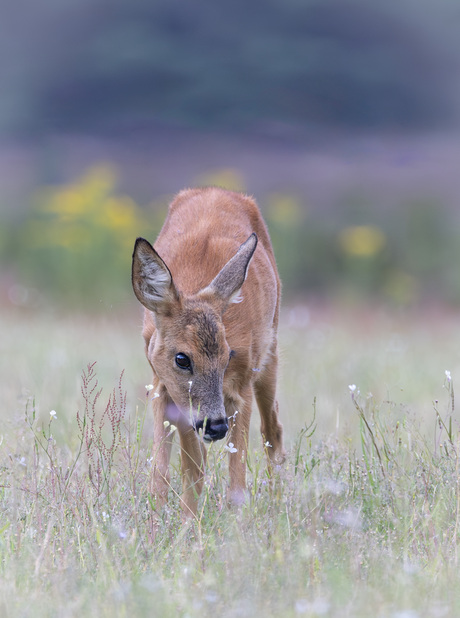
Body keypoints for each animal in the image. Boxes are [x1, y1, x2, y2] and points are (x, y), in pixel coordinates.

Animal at [131, 185, 286, 512]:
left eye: (228, 355)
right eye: (182, 358)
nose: (216, 428)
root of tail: (216, 189)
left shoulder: (241, 384)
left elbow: (235, 476)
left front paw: (235, 517)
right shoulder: (166, 386)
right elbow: (179, 471)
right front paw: (178, 517)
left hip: (269, 353)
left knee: (272, 428)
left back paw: (280, 498)